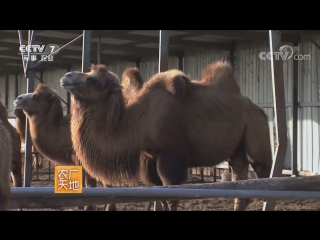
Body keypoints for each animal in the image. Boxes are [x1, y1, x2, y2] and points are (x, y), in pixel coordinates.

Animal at [58, 62, 272, 211]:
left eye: (92, 80)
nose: (66, 76)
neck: (141, 123)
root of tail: (259, 110)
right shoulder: (149, 159)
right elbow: (159, 195)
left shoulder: (170, 155)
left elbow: (172, 197)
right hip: (237, 149)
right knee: (242, 181)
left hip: (256, 129)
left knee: (263, 171)